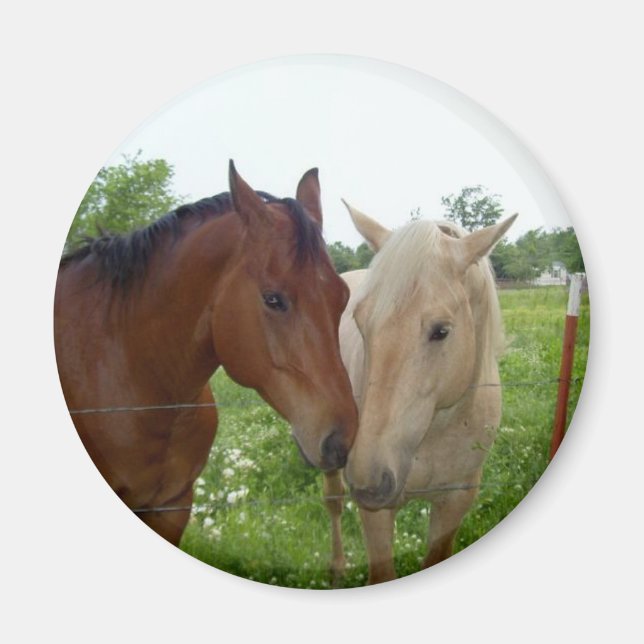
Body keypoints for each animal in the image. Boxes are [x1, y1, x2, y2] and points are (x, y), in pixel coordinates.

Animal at [323, 201, 516, 585]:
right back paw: (338, 567)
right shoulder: (377, 514)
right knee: (333, 500)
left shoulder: (455, 501)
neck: (435, 433)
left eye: (441, 330)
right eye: (361, 322)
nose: (368, 481)